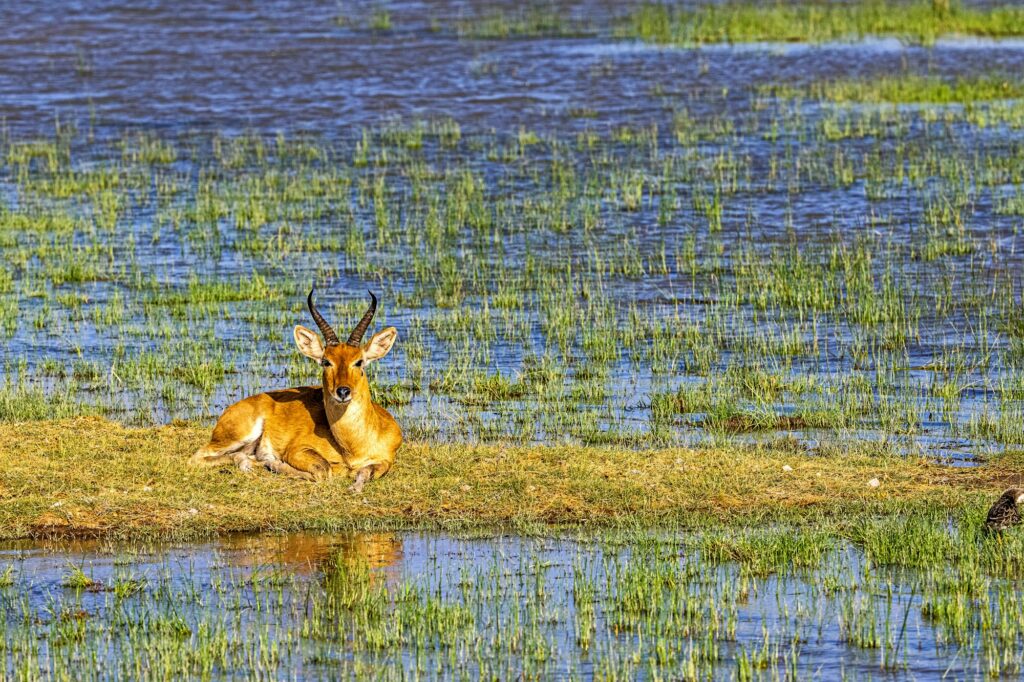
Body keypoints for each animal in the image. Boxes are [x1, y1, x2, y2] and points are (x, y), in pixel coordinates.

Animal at [189, 288, 401, 492]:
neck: (353, 448)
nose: (342, 392)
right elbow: (323, 470)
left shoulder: (385, 461)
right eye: (326, 361)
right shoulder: (297, 450)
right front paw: (276, 464)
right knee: (199, 456)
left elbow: (366, 472)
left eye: (359, 362)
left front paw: (355, 486)